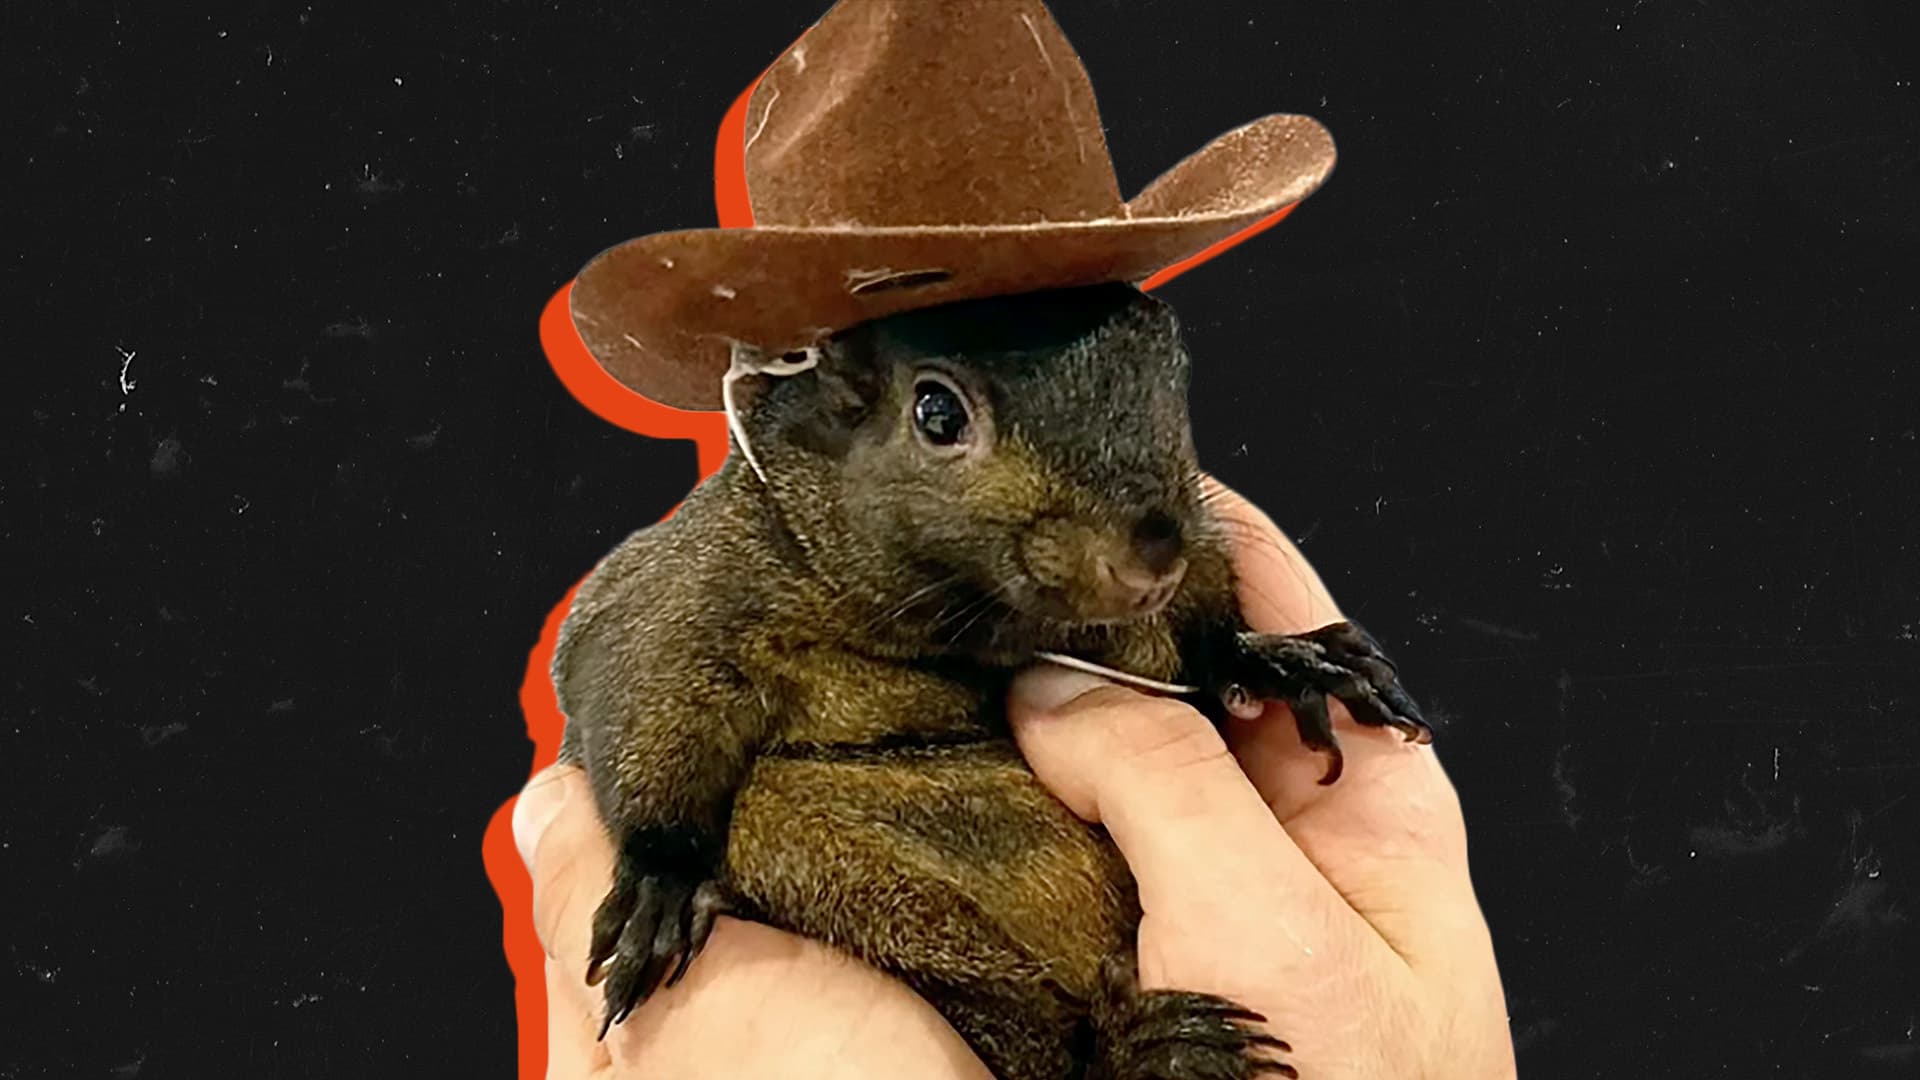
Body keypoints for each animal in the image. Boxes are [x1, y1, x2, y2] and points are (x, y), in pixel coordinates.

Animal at [551, 282, 1432, 1080]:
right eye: (937, 414)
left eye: (1170, 374)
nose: (1153, 554)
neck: (973, 629)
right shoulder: (681, 598)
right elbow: (641, 697)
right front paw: (660, 881)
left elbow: (1206, 639)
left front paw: (1282, 660)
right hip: (835, 872)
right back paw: (1139, 1050)